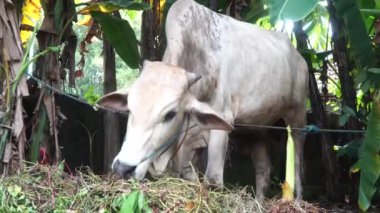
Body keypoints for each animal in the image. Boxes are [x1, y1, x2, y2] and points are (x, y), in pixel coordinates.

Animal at [96, 0, 308, 199]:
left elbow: (213, 180)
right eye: (130, 109)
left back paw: (297, 199)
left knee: (297, 160)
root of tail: (300, 58)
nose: (123, 168)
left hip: (297, 118)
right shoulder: (189, 144)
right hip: (258, 128)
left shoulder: (221, 124)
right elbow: (188, 175)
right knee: (263, 170)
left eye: (170, 114)